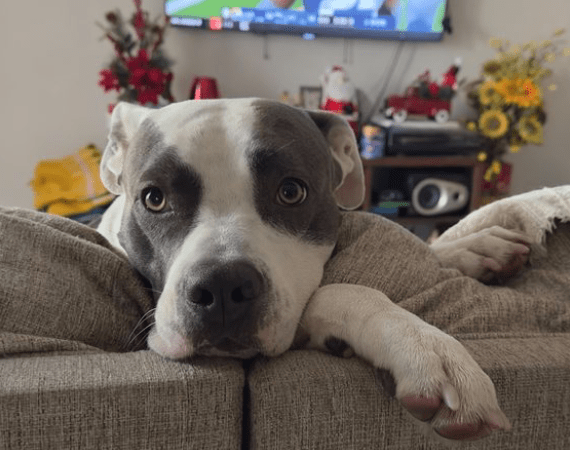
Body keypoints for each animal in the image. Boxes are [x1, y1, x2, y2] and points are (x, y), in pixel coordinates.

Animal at [97, 98, 528, 442]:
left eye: (291, 191)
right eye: (154, 198)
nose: (221, 287)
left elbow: (426, 248)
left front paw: (472, 248)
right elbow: (339, 291)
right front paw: (420, 344)